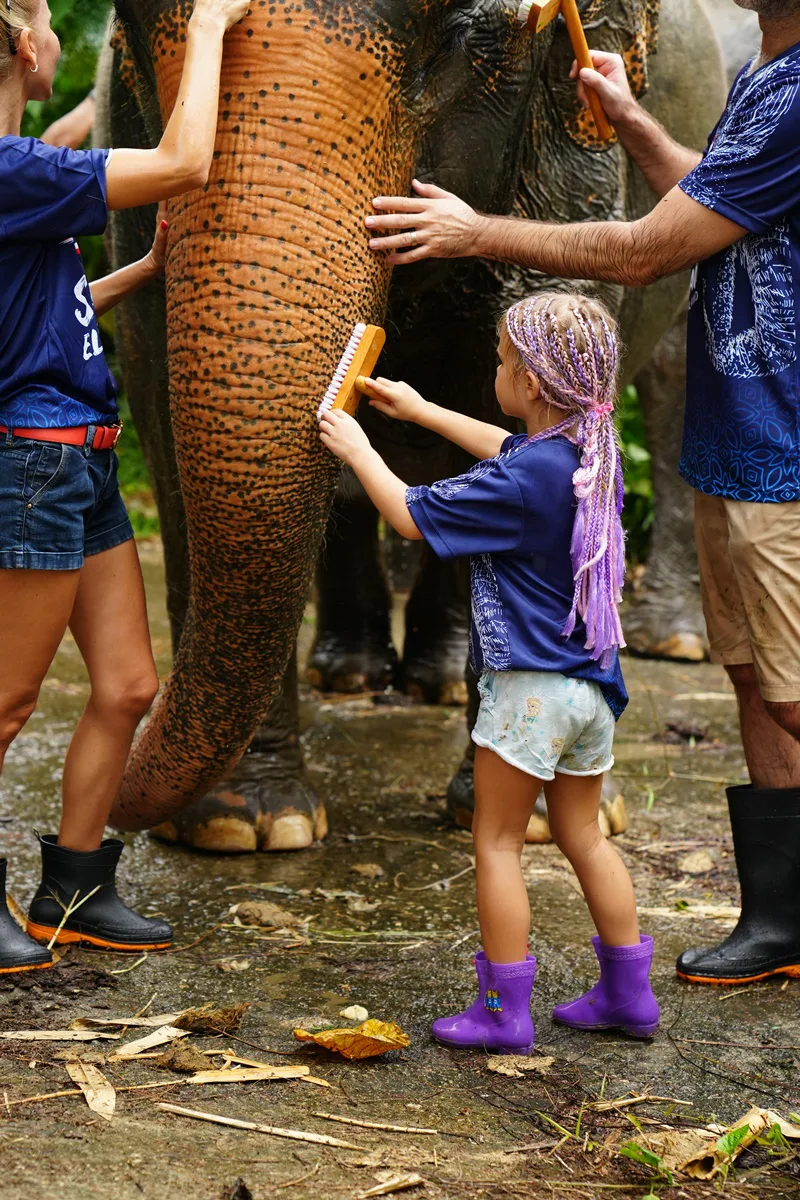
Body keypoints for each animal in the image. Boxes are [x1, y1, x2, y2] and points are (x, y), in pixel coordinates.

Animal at [100, 0, 729, 852]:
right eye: (133, 23)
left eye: (453, 41)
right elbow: (153, 367)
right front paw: (248, 826)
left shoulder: (575, 137)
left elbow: (540, 318)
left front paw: (540, 818)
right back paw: (352, 677)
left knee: (668, 378)